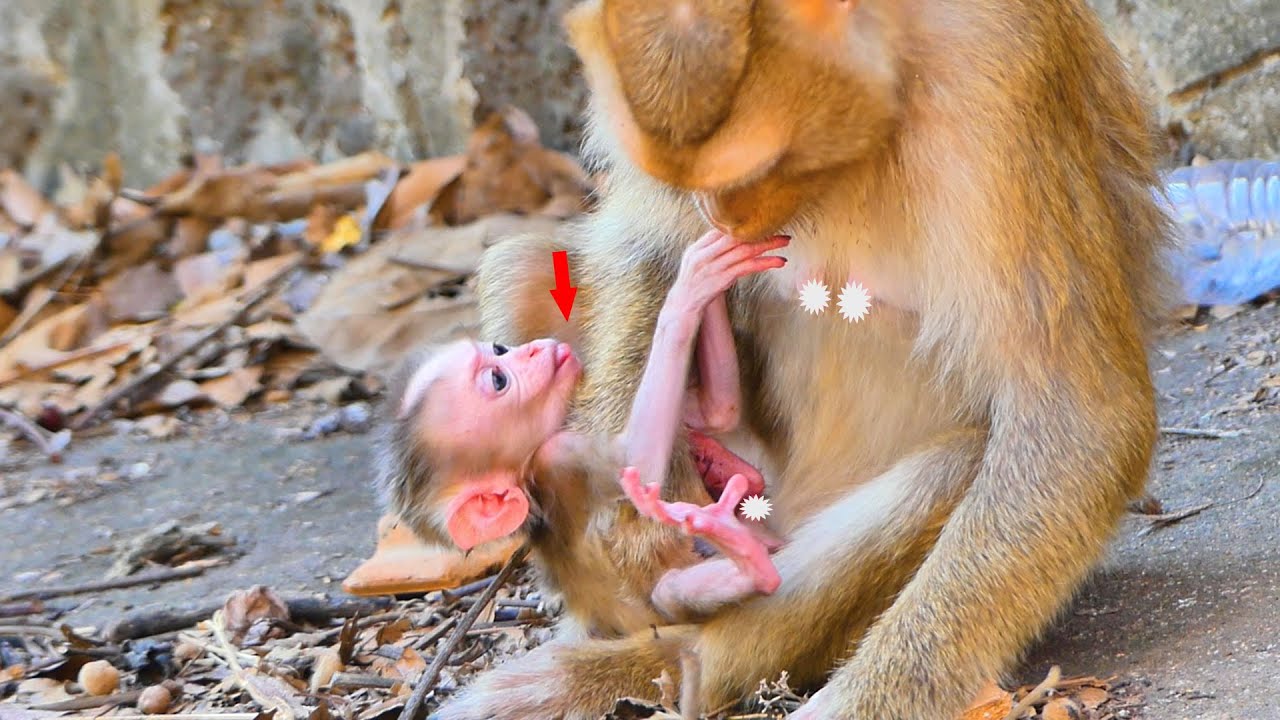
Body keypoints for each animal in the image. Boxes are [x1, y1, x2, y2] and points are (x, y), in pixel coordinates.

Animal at [376, 231, 788, 635]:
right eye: (498, 379)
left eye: (499, 349)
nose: (533, 349)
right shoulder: (557, 455)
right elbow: (638, 468)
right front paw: (685, 295)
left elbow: (717, 412)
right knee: (670, 591)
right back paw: (746, 558)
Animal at [435, 0, 1171, 718]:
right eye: (689, 177)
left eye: (753, 168)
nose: (718, 213)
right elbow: (644, 244)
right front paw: (631, 514)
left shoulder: (1000, 72)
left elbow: (1077, 419)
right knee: (525, 269)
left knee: (947, 468)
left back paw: (684, 658)